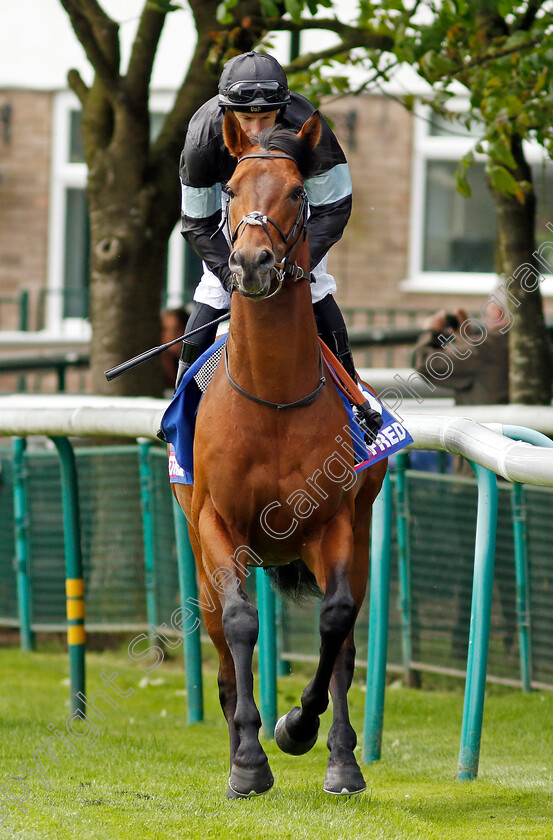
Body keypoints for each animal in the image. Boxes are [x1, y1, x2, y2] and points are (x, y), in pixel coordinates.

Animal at [171, 111, 384, 800]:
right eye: (231, 189)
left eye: (296, 190)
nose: (253, 263)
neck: (272, 398)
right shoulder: (217, 524)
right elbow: (241, 624)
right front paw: (248, 761)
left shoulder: (334, 522)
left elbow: (335, 623)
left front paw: (298, 726)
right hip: (202, 555)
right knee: (221, 647)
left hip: (357, 535)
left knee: (344, 638)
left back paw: (342, 759)